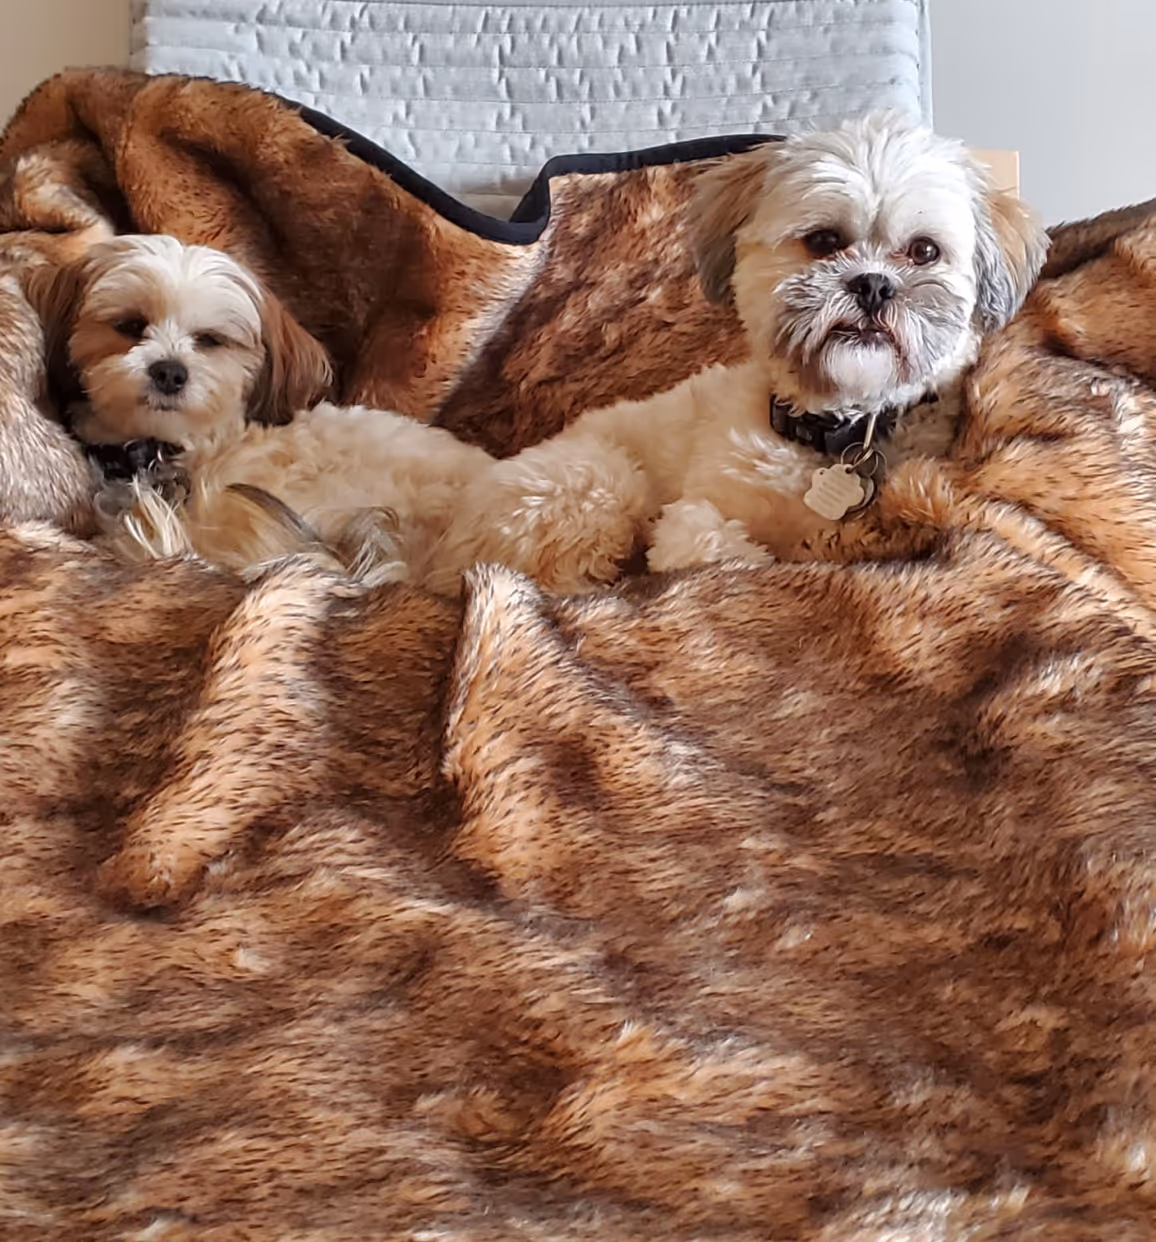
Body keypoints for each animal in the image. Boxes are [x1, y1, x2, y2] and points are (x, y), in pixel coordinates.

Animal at [441, 112, 1051, 588]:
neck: (838, 433)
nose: (874, 285)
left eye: (924, 251)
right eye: (824, 241)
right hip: (595, 481)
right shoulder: (694, 519)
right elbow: (728, 553)